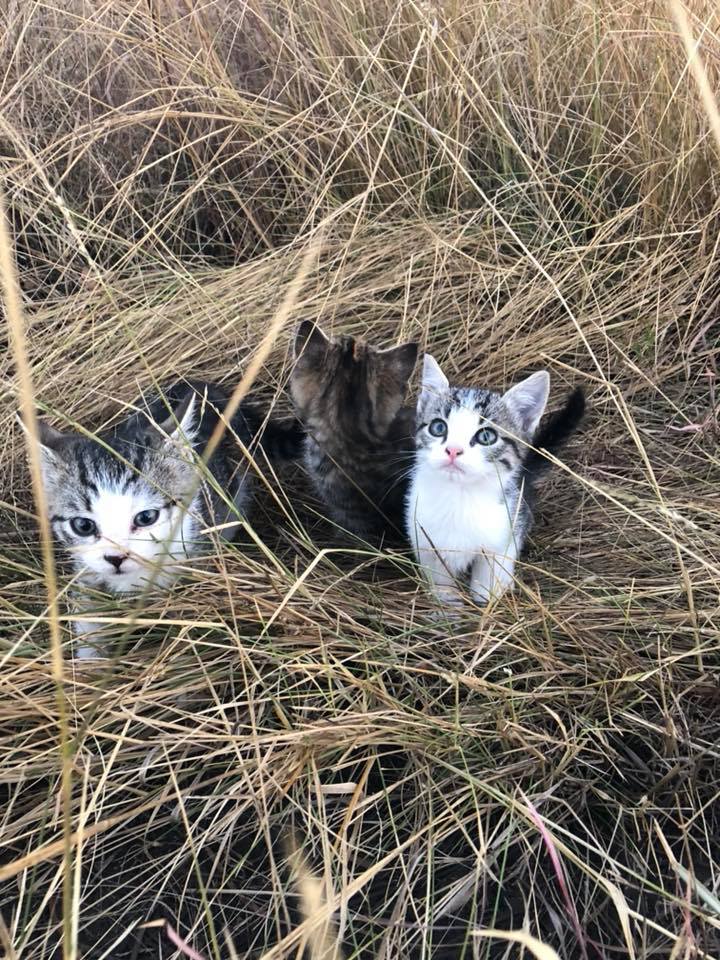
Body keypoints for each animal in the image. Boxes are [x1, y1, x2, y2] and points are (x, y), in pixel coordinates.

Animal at [38, 378, 302, 656]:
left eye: (146, 518)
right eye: (83, 525)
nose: (116, 558)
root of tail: (194, 383)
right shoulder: (86, 571)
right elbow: (89, 618)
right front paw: (91, 660)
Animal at [404, 356, 584, 612]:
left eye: (486, 436)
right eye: (438, 427)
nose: (453, 450)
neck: (460, 498)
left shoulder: (507, 531)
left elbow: (489, 575)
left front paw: (486, 602)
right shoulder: (424, 538)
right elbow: (440, 578)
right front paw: (446, 603)